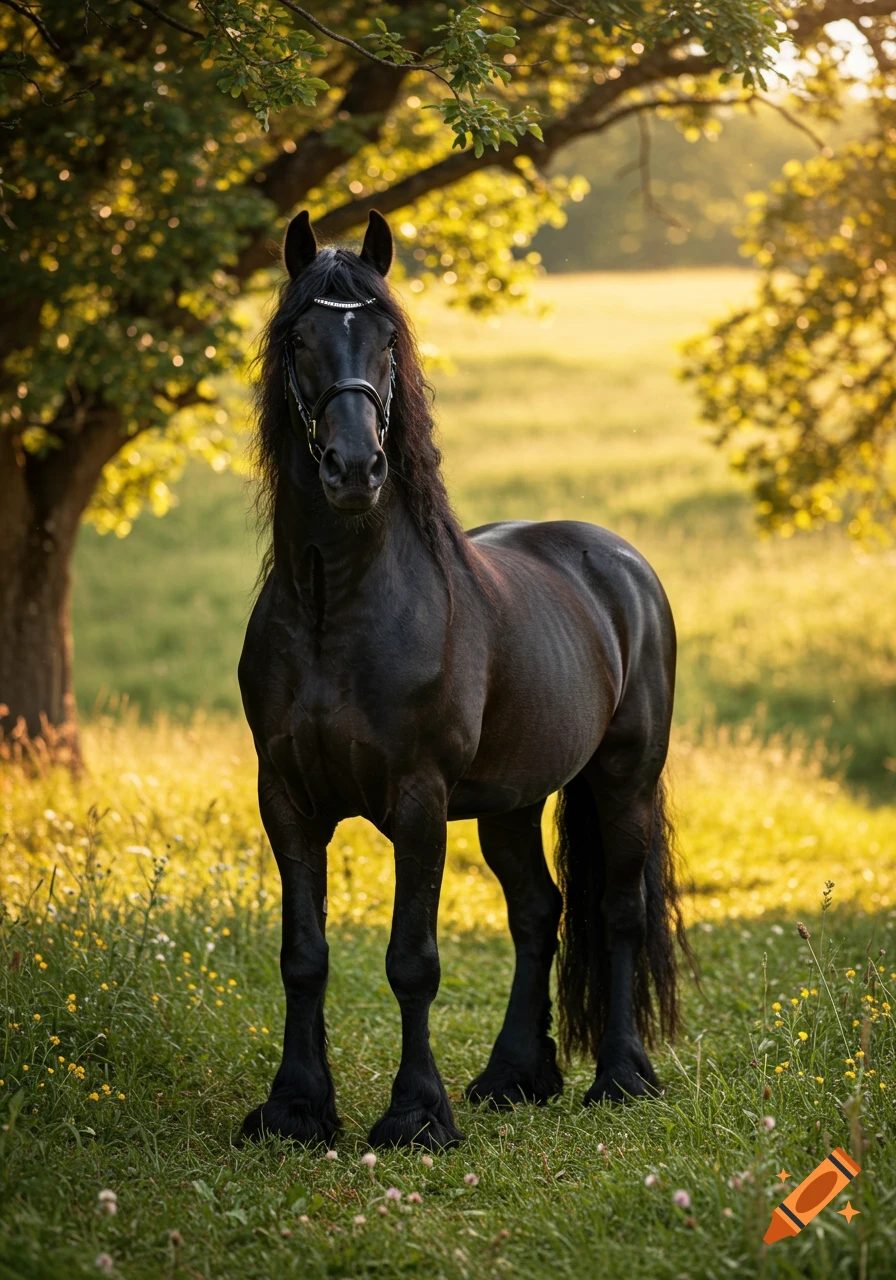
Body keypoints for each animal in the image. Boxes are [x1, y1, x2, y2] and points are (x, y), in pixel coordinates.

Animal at [238, 208, 690, 1149]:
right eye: (299, 336)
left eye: (387, 338)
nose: (354, 468)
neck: (338, 609)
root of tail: (621, 561)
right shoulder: (286, 799)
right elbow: (303, 956)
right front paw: (296, 1106)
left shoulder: (418, 802)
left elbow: (412, 960)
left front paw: (416, 1115)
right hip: (512, 804)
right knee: (539, 913)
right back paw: (515, 1075)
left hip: (623, 780)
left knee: (617, 912)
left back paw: (622, 1077)